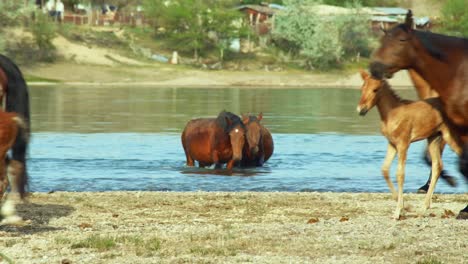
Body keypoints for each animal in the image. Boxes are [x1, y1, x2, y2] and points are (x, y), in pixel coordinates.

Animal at [358, 69, 460, 219]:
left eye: (375, 89)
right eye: (362, 88)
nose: (361, 109)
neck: (391, 113)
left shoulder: (403, 143)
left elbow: (400, 174)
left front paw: (398, 211)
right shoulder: (392, 144)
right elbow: (385, 169)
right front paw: (406, 206)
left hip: (450, 137)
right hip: (434, 138)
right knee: (437, 165)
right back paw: (423, 207)